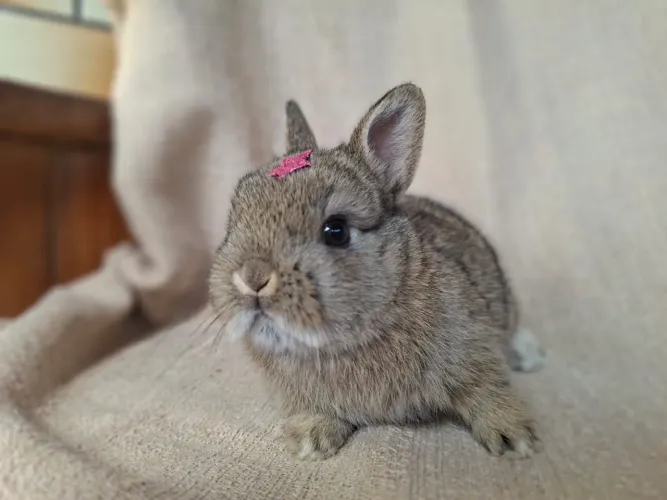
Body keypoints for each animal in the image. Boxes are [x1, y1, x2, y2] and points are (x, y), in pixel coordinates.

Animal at [209, 83, 546, 461]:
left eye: (336, 231)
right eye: (235, 219)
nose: (252, 278)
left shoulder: (474, 347)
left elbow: (487, 389)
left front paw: (514, 436)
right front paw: (310, 438)